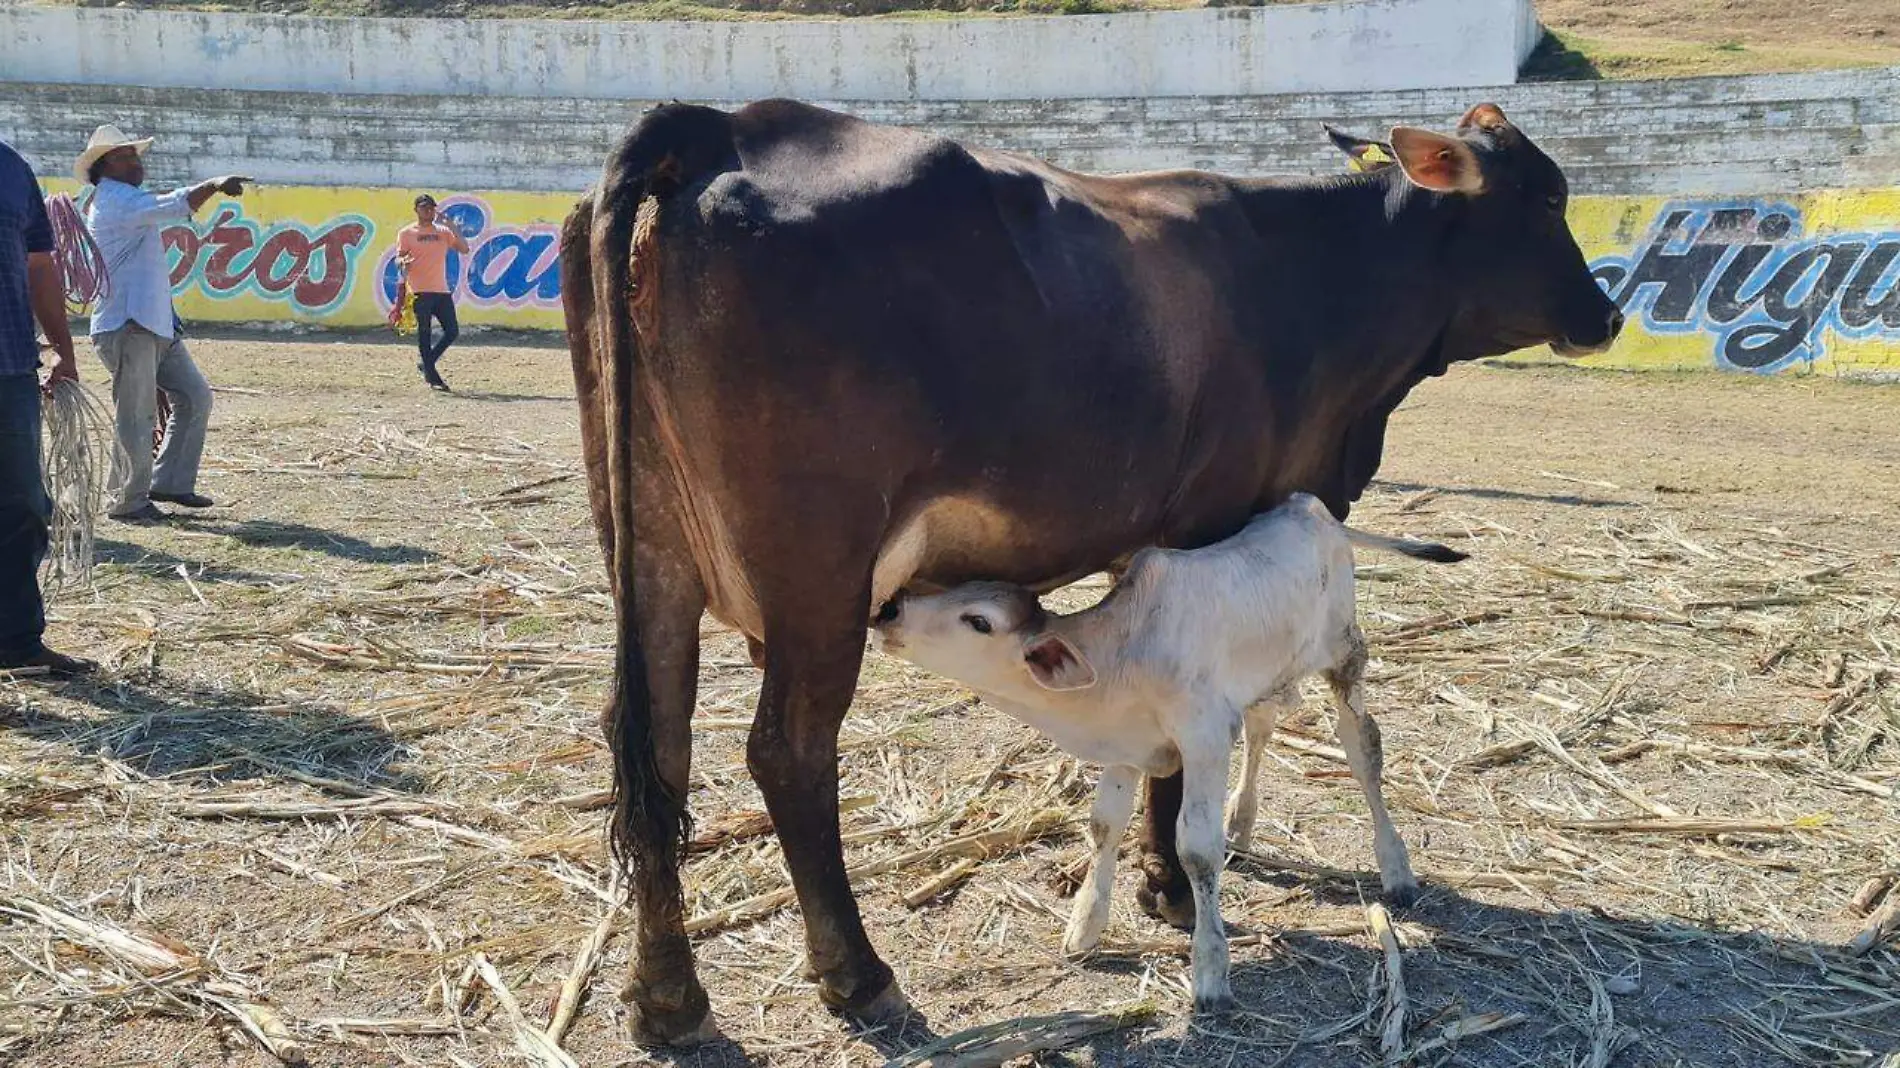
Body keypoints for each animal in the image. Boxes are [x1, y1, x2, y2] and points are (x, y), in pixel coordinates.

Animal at [870, 490, 1459, 1003]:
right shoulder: (1128, 745)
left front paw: (1211, 968)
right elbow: (1104, 824)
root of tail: (1314, 510)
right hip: (1269, 673)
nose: (891, 610)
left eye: (978, 621)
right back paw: (1242, 820)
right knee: (1263, 725)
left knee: (1363, 751)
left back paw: (1396, 867)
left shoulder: (1203, 738)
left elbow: (1197, 850)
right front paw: (1085, 925)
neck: (1125, 655)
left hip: (1344, 652)